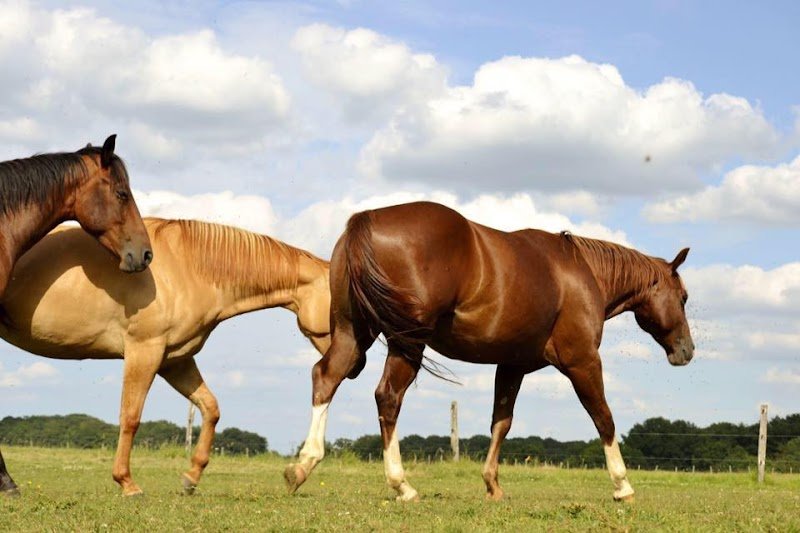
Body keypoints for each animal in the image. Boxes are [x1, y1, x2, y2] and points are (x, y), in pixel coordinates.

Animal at [0, 218, 330, 496]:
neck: (188, 267)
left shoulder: (175, 360)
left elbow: (211, 409)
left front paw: (191, 477)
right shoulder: (144, 351)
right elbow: (130, 416)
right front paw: (127, 483)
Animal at [285, 201, 694, 502]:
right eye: (683, 297)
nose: (687, 350)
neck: (581, 273)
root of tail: (365, 221)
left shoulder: (511, 365)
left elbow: (501, 421)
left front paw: (492, 484)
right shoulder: (582, 361)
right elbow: (603, 418)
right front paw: (622, 485)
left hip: (354, 333)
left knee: (326, 378)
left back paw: (303, 466)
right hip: (406, 343)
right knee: (387, 397)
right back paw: (402, 485)